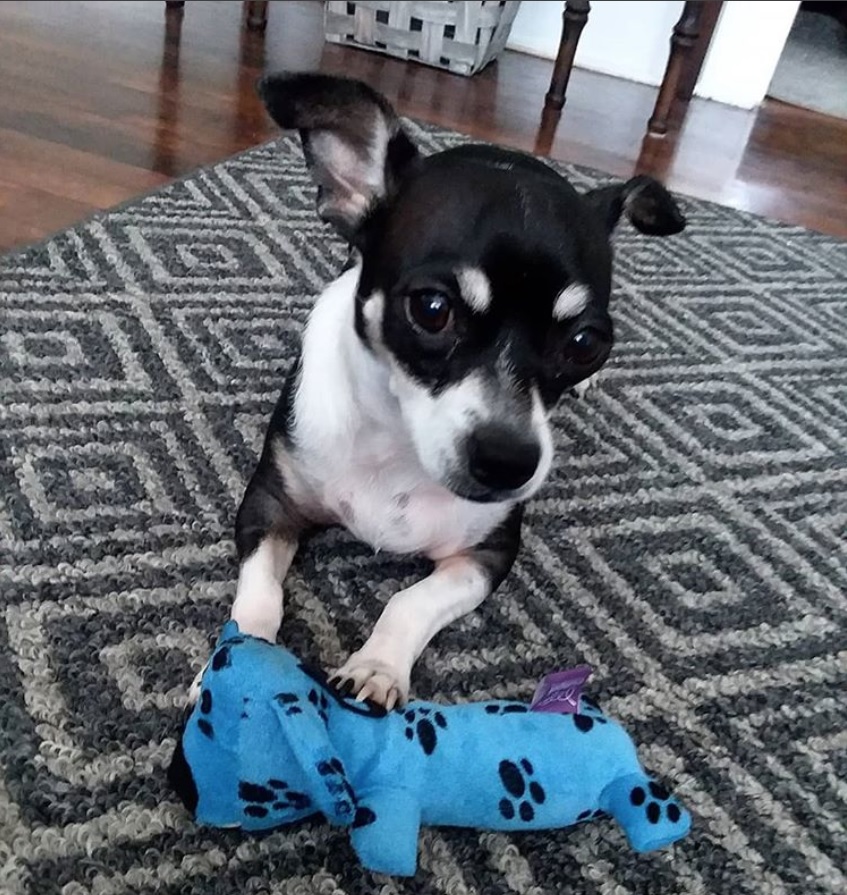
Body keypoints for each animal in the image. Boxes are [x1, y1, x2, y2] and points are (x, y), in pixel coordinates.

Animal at [210, 72, 684, 708]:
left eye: (587, 343)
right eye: (432, 310)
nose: (509, 461)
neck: (397, 444)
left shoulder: (486, 555)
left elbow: (410, 601)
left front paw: (377, 666)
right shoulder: (268, 507)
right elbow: (258, 597)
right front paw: (230, 670)